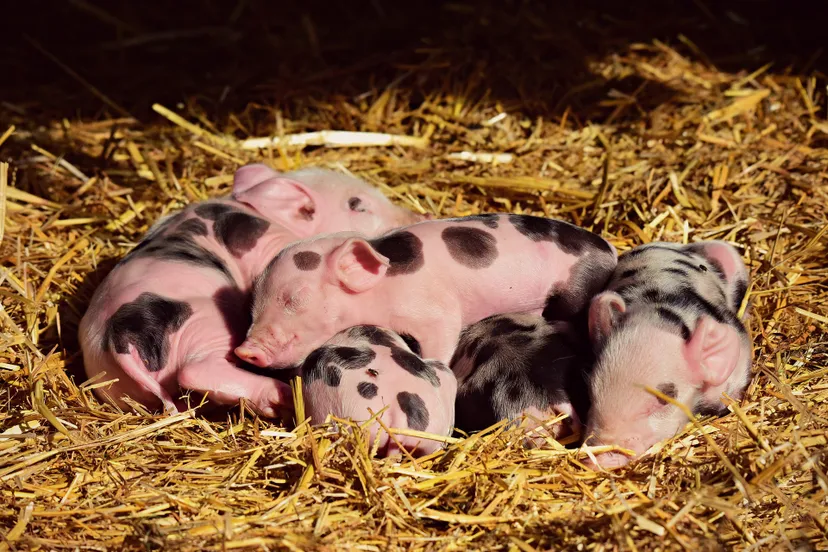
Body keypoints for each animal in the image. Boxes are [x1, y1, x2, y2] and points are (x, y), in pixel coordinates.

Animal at [79, 164, 423, 416]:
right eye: (357, 205)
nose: (419, 215)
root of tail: (120, 339)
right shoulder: (267, 241)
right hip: (205, 322)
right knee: (196, 370)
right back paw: (282, 397)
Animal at [236, 213, 617, 371]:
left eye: (295, 298)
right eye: (253, 303)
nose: (243, 351)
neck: (381, 288)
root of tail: (609, 250)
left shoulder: (434, 311)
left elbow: (443, 336)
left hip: (575, 289)